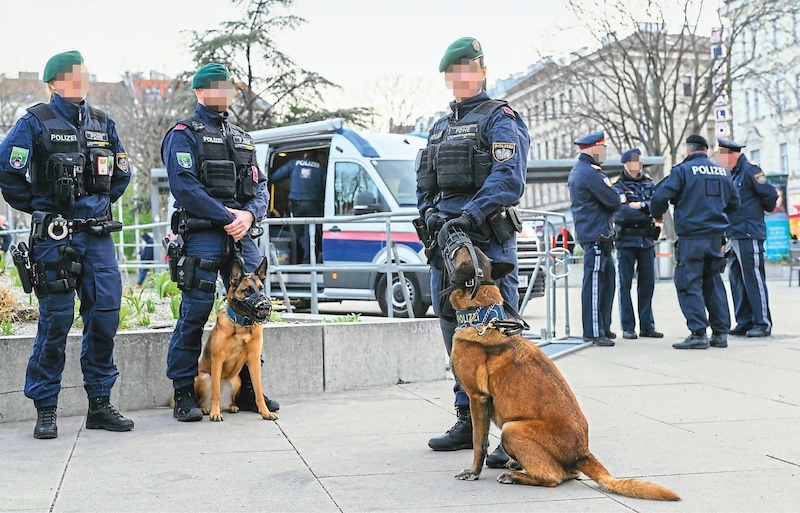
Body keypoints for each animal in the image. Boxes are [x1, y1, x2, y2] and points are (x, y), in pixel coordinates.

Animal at [195, 256, 278, 420]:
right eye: (248, 290)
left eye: (261, 288)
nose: (265, 305)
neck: (241, 325)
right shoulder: (217, 359)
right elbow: (216, 392)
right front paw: (215, 413)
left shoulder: (254, 360)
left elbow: (258, 390)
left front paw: (265, 412)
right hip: (203, 377)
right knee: (204, 399)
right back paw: (205, 409)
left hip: (236, 380)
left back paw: (232, 406)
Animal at [446, 244, 680, 500]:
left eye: (464, 252)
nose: (455, 240)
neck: (481, 316)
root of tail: (582, 452)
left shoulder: (477, 399)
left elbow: (479, 443)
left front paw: (473, 471)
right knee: (566, 473)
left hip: (511, 429)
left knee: (553, 477)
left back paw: (515, 476)